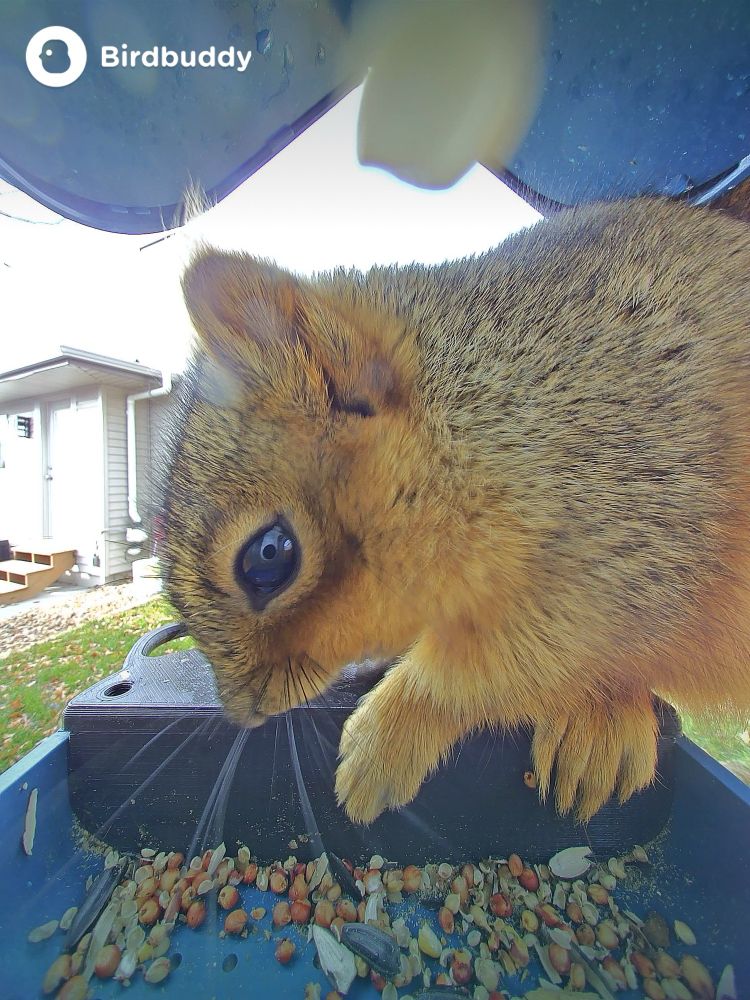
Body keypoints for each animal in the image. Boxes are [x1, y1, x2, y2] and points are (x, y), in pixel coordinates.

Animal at [162, 194, 750, 824]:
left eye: (270, 556)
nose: (244, 712)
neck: (474, 424)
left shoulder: (634, 531)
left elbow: (497, 671)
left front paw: (387, 735)